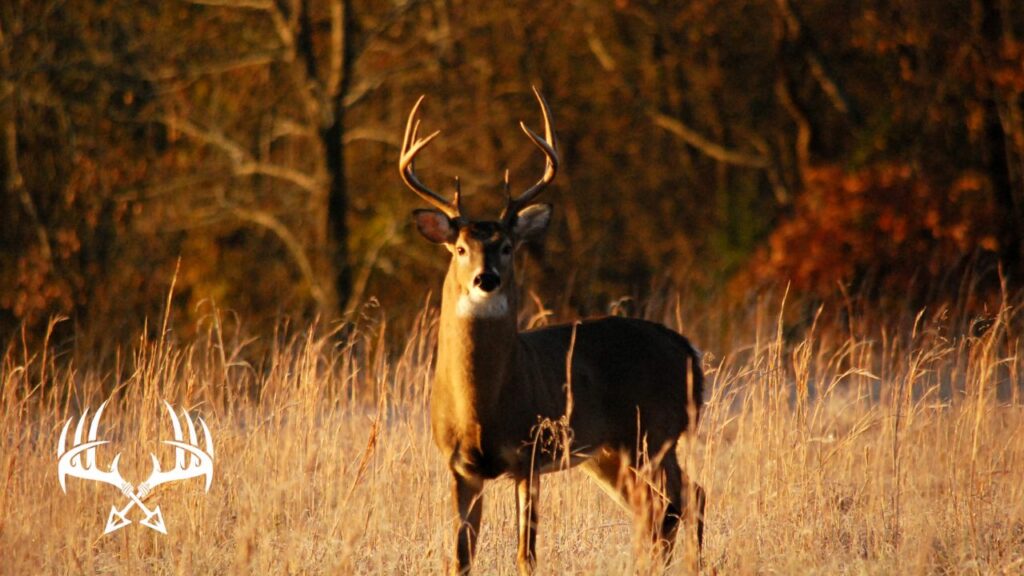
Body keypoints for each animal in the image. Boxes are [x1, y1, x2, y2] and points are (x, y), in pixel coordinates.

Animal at [401, 87, 704, 569]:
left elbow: (526, 553)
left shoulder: (530, 453)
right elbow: (461, 558)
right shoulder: (459, 466)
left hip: (656, 432)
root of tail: (687, 348)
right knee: (658, 508)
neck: (482, 409)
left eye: (507, 246)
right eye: (461, 248)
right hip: (611, 452)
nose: (486, 279)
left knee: (685, 500)